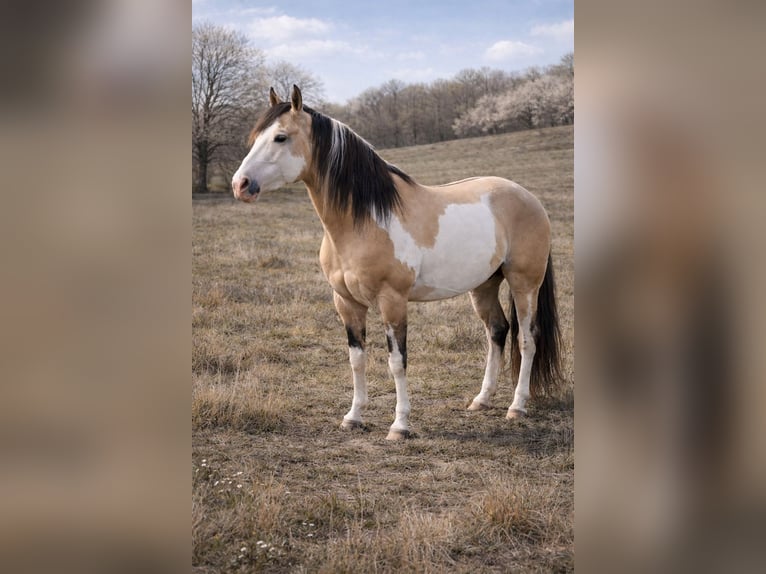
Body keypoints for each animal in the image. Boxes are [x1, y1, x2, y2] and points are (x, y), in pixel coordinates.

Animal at [232, 85, 561, 440]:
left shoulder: (392, 301)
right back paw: (481, 400)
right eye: (256, 137)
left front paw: (400, 425)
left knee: (527, 338)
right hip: (484, 285)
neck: (367, 220)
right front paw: (353, 417)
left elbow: (397, 361)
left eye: (280, 137)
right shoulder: (346, 302)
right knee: (497, 331)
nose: (240, 185)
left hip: (524, 284)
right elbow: (357, 359)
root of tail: (530, 199)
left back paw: (517, 407)